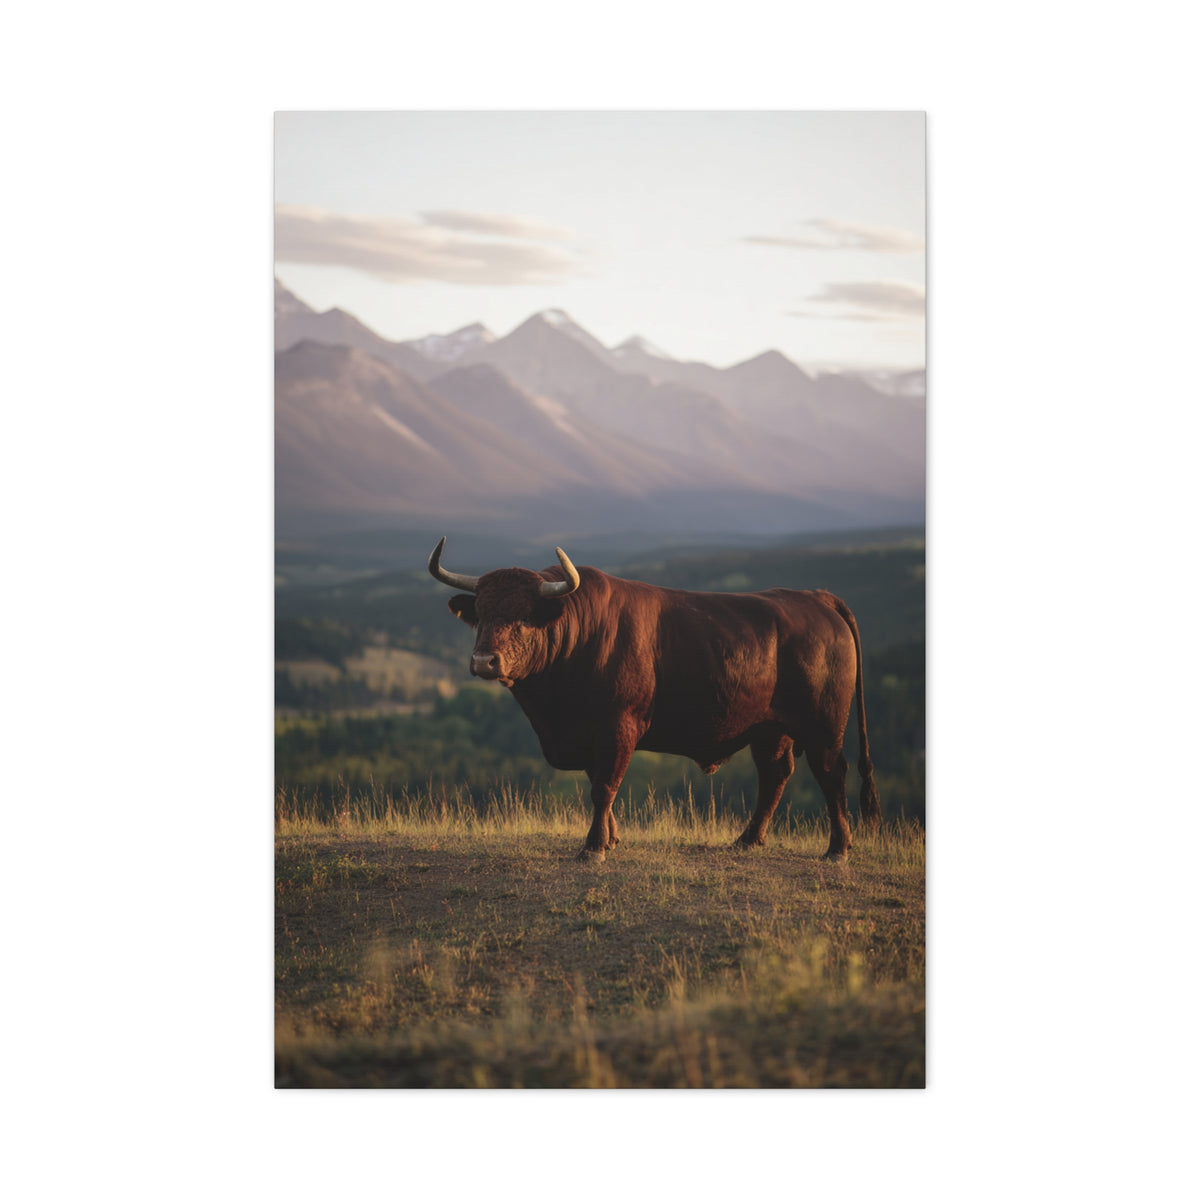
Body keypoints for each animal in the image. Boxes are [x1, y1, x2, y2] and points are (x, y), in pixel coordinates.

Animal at [428, 537, 881, 862]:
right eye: (481, 614)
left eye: (523, 617)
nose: (484, 661)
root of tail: (816, 598)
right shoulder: (590, 736)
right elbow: (599, 785)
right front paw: (610, 839)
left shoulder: (617, 728)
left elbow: (604, 787)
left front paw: (593, 848)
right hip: (771, 730)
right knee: (776, 775)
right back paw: (748, 840)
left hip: (823, 726)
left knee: (831, 773)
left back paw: (837, 849)